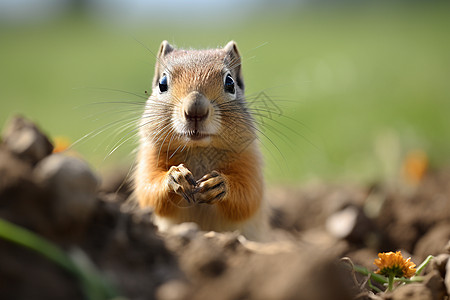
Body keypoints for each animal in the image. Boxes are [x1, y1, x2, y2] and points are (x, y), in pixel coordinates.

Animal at [134, 40, 268, 241]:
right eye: (162, 83)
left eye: (230, 82)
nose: (195, 109)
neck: (198, 148)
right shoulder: (150, 156)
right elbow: (148, 191)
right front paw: (175, 176)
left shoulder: (248, 158)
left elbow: (248, 196)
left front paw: (218, 184)